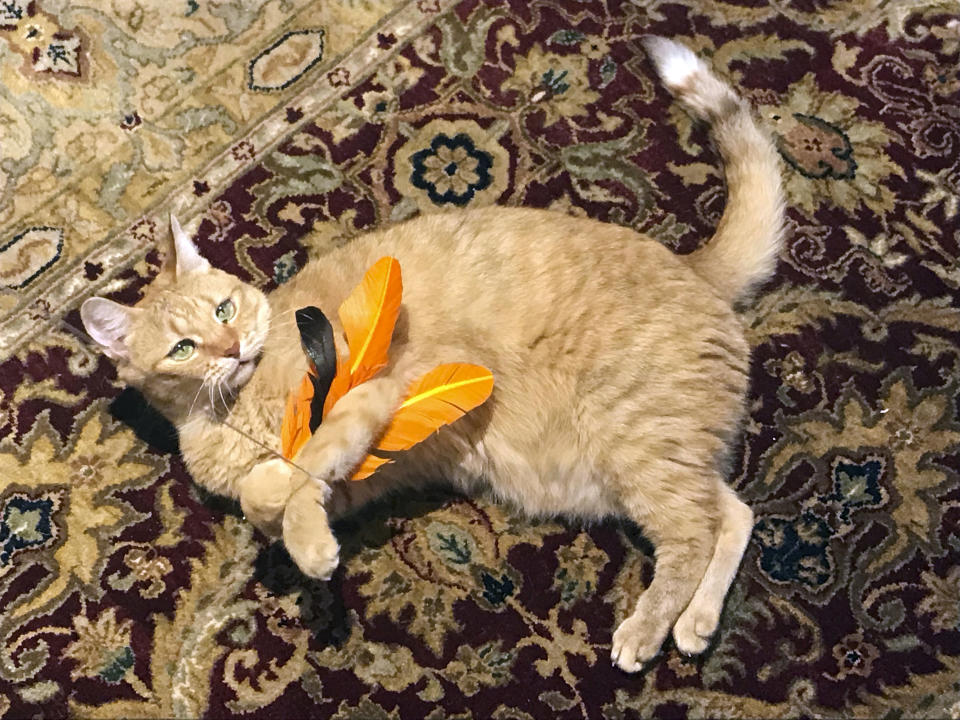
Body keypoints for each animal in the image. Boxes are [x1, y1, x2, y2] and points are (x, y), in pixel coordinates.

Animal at [82, 36, 784, 672]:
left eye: (224, 311)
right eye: (184, 347)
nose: (230, 349)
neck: (230, 413)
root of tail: (693, 267)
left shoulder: (370, 393)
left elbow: (293, 469)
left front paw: (307, 542)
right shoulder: (347, 481)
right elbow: (272, 500)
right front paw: (297, 525)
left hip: (635, 440)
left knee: (694, 535)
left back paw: (647, 629)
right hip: (639, 461)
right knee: (731, 514)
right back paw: (695, 623)